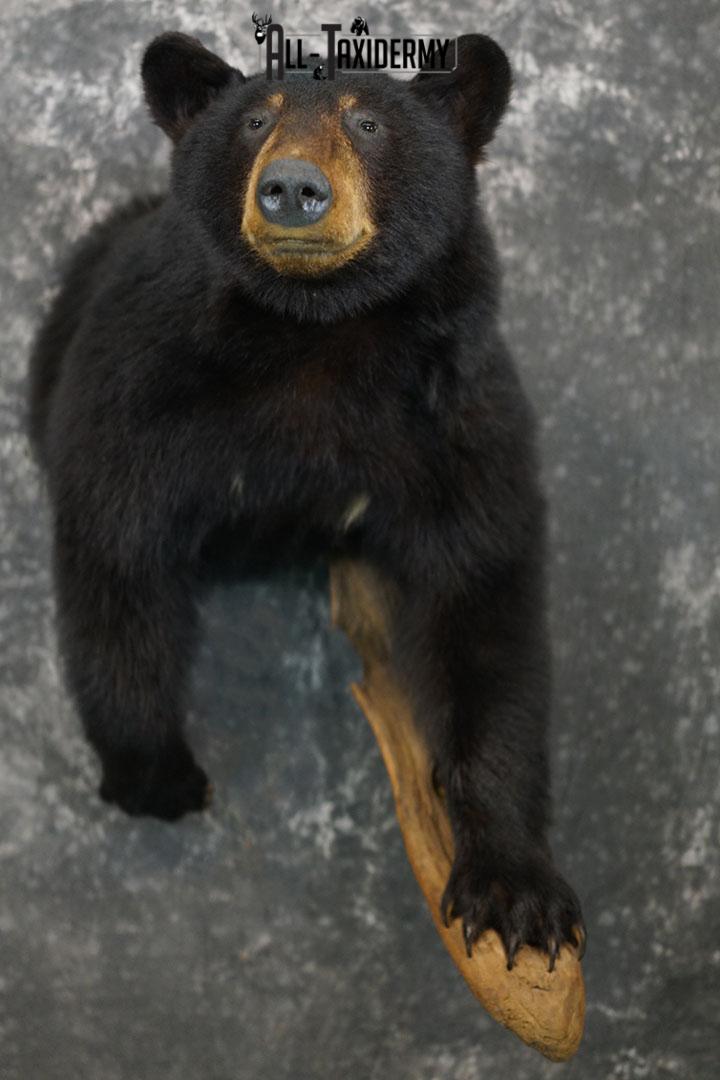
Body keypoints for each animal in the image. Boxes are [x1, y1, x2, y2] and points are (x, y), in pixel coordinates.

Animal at [27, 31, 586, 971]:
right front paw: (158, 776)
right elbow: (119, 549)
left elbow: (482, 598)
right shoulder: (141, 381)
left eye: (367, 122)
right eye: (256, 119)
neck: (313, 340)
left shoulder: (455, 414)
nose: (292, 188)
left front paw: (517, 895)